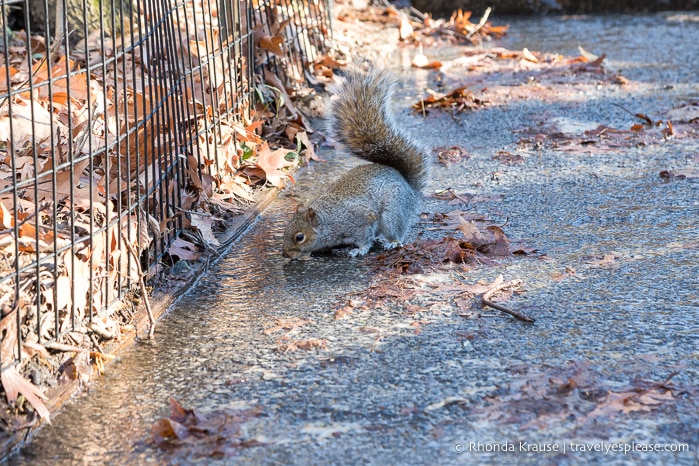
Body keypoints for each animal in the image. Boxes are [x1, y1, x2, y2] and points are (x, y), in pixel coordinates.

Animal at [282, 67, 430, 260]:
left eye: (299, 237)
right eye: (285, 230)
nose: (285, 254)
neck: (328, 221)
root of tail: (410, 189)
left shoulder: (360, 221)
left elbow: (364, 238)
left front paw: (358, 250)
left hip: (393, 213)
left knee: (396, 231)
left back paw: (392, 242)